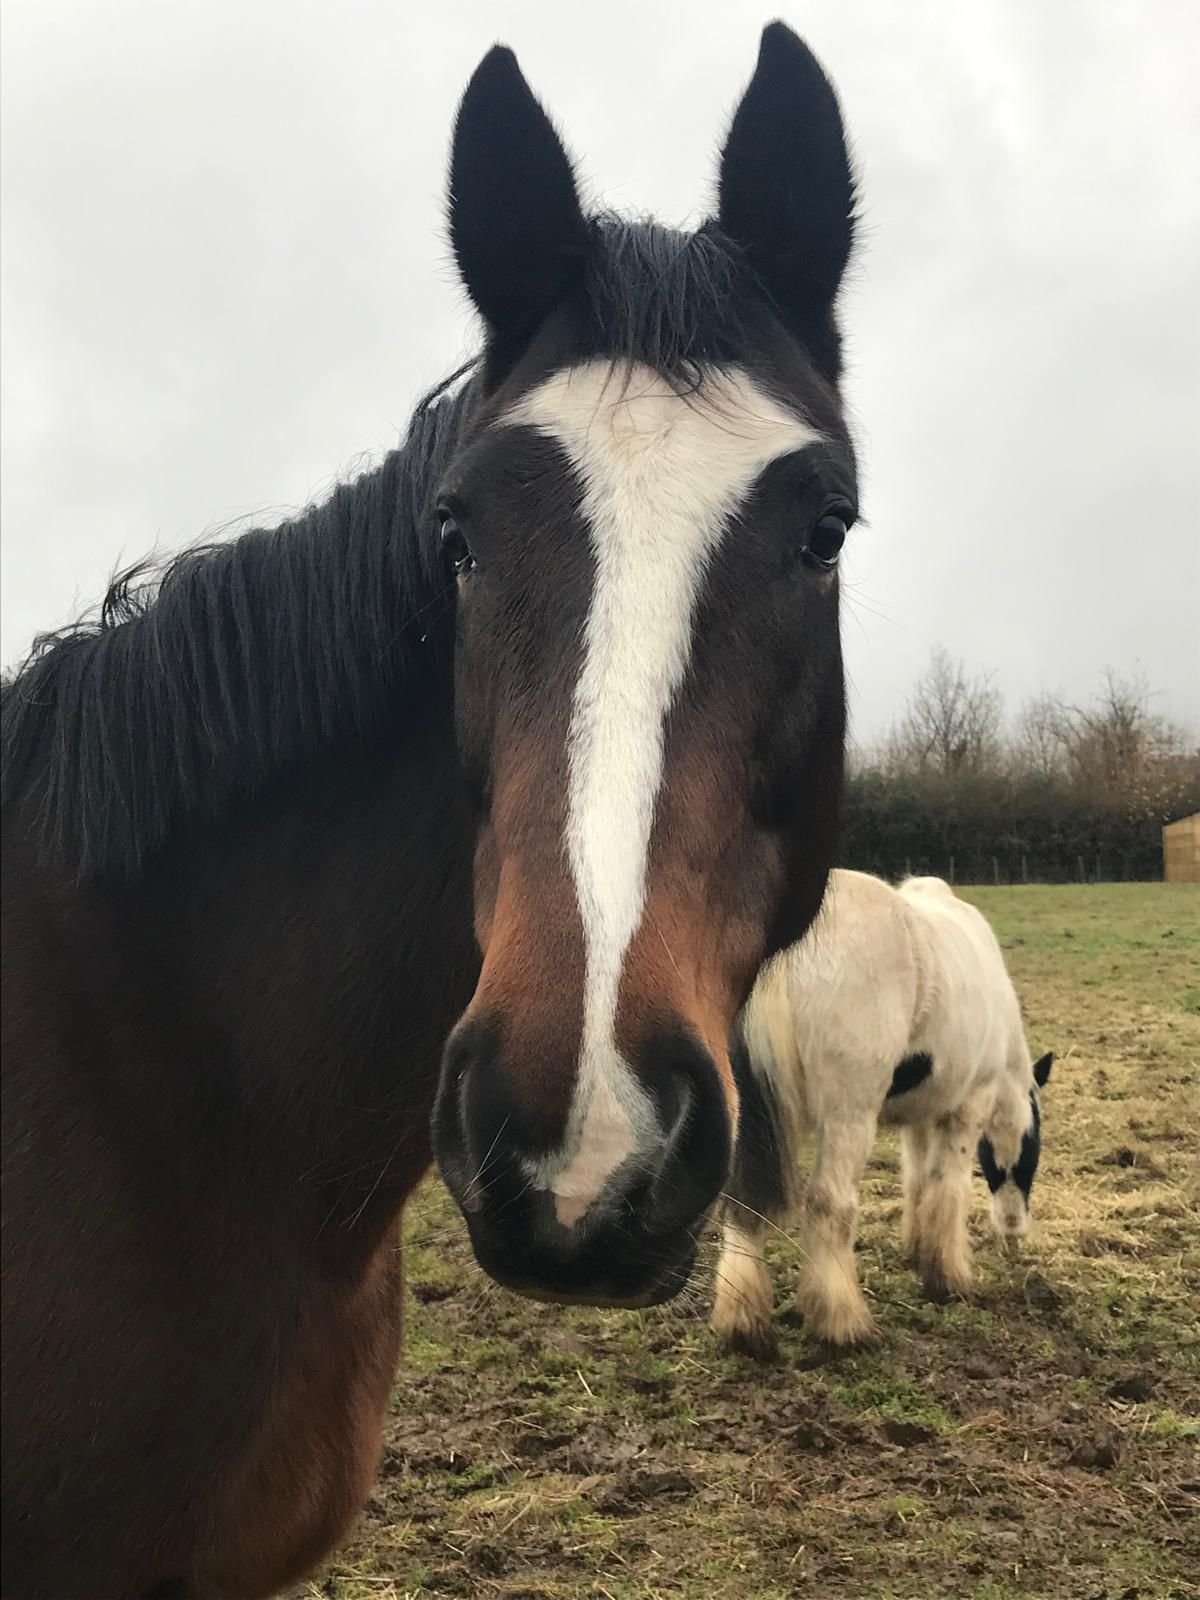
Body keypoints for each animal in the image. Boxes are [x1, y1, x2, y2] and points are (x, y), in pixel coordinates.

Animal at [711, 871, 1054, 1357]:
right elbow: (948, 1187)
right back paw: (842, 1324)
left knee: (743, 1206)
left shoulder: (921, 1114)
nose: (1014, 1229)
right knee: (829, 1203)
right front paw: (948, 1278)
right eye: (1032, 1152)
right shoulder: (968, 1108)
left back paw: (742, 1323)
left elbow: (917, 1179)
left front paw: (918, 1249)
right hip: (848, 1115)